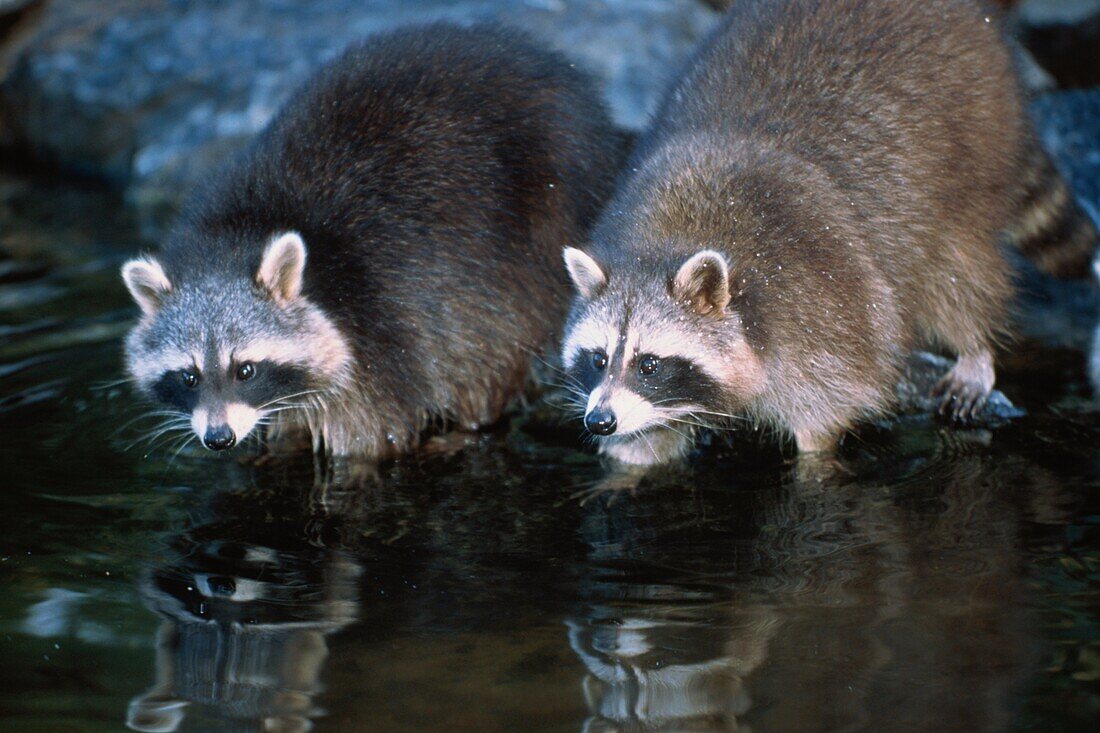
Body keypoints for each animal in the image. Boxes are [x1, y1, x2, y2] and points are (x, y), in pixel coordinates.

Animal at [122, 24, 620, 457]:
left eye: (245, 369)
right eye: (188, 376)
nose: (219, 438)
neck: (240, 230)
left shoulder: (377, 328)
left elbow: (371, 434)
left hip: (534, 235)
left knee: (491, 343)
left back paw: (475, 422)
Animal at [563, 0, 1095, 464]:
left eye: (649, 364)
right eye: (597, 359)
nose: (599, 421)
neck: (667, 239)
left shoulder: (819, 305)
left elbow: (829, 408)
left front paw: (815, 469)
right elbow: (644, 444)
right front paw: (627, 467)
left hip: (969, 147)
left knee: (957, 268)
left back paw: (974, 345)